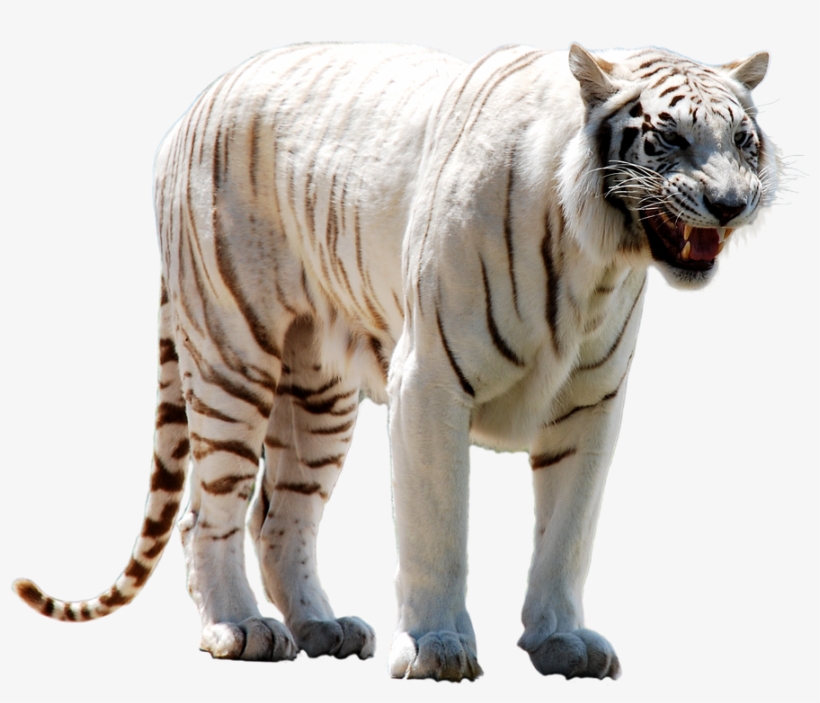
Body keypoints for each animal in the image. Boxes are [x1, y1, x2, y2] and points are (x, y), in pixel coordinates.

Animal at [13, 42, 777, 681]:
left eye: (743, 140)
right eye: (669, 136)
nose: (730, 203)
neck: (598, 257)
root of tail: (201, 100)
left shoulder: (591, 405)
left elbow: (568, 533)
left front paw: (562, 640)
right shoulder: (430, 382)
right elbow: (438, 527)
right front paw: (438, 647)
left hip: (318, 395)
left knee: (279, 518)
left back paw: (322, 627)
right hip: (232, 351)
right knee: (208, 512)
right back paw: (239, 627)